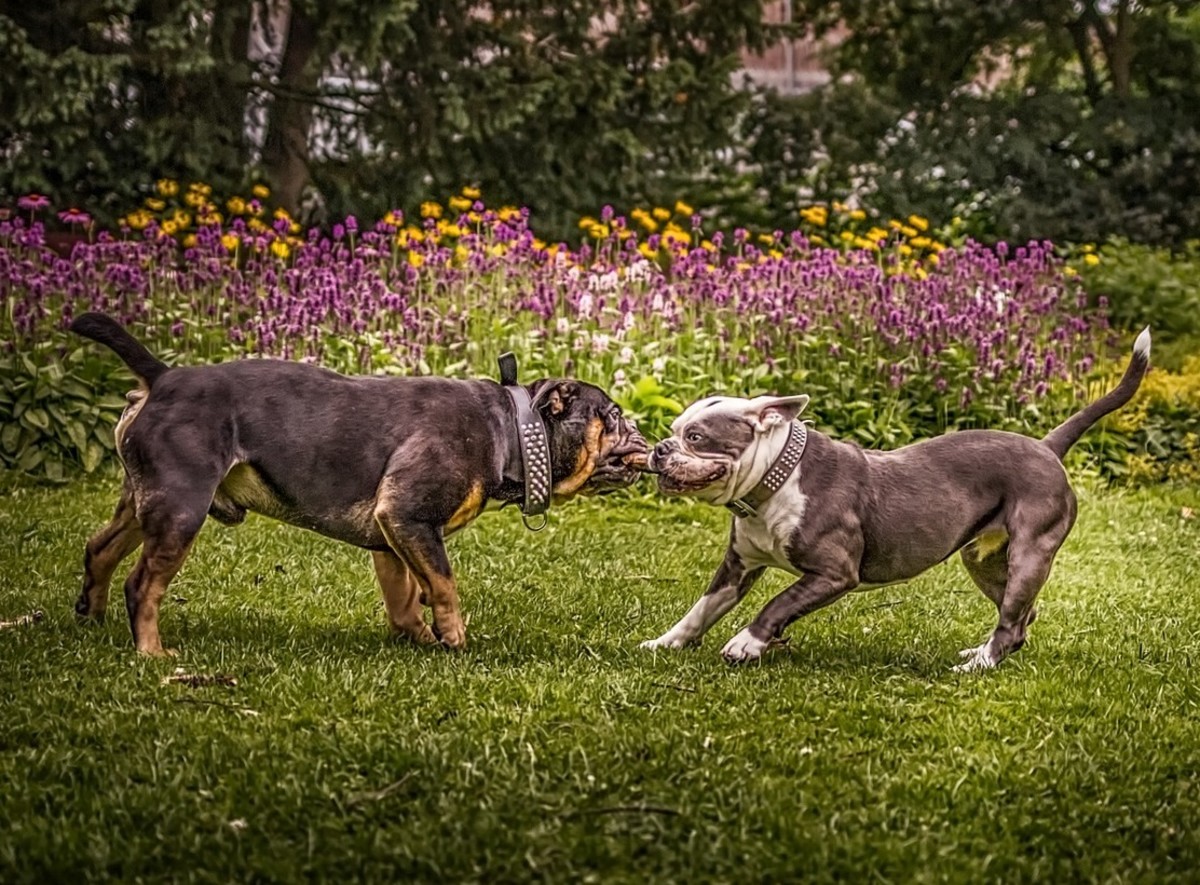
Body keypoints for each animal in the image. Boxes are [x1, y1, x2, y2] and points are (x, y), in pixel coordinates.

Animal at [643, 328, 1147, 666]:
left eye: (696, 437)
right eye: (673, 430)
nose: (660, 448)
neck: (775, 481)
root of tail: (1046, 446)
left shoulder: (834, 573)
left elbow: (778, 603)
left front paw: (748, 642)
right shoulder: (738, 565)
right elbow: (702, 608)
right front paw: (666, 643)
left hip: (1029, 553)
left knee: (1011, 620)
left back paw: (979, 664)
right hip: (985, 561)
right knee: (1022, 617)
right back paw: (982, 652)